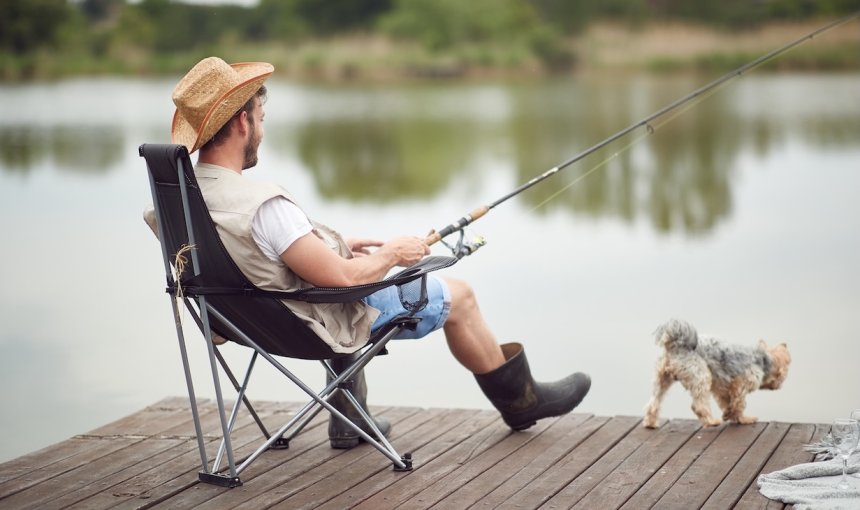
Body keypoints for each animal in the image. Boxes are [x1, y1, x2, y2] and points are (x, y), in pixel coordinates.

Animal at [640, 320, 788, 428]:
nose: (780, 386)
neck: (762, 360)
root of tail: (677, 345)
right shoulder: (741, 384)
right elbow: (739, 403)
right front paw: (737, 417)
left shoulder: (721, 389)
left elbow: (729, 403)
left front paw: (733, 416)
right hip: (701, 376)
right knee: (698, 405)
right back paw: (712, 422)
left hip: (662, 379)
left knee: (653, 403)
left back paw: (650, 423)